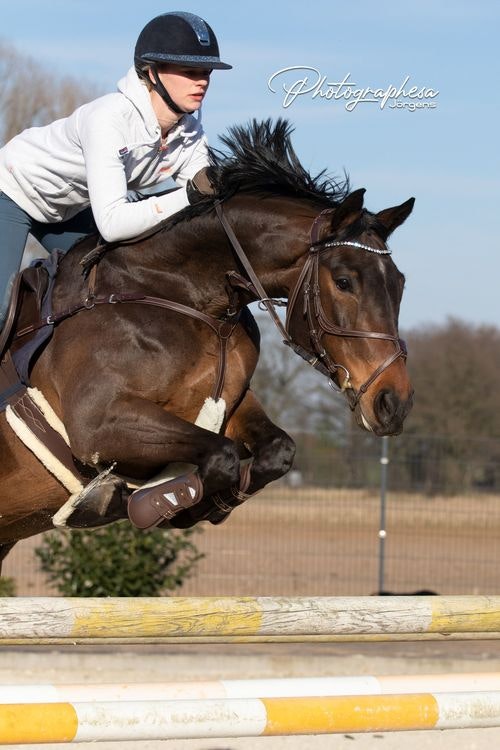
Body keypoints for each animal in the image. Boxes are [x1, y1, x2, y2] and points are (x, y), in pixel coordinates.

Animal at [0, 119, 414, 568]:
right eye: (343, 281)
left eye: (400, 284)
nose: (394, 403)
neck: (188, 298)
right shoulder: (97, 423)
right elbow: (221, 454)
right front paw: (151, 501)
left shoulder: (230, 402)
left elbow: (275, 451)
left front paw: (200, 506)